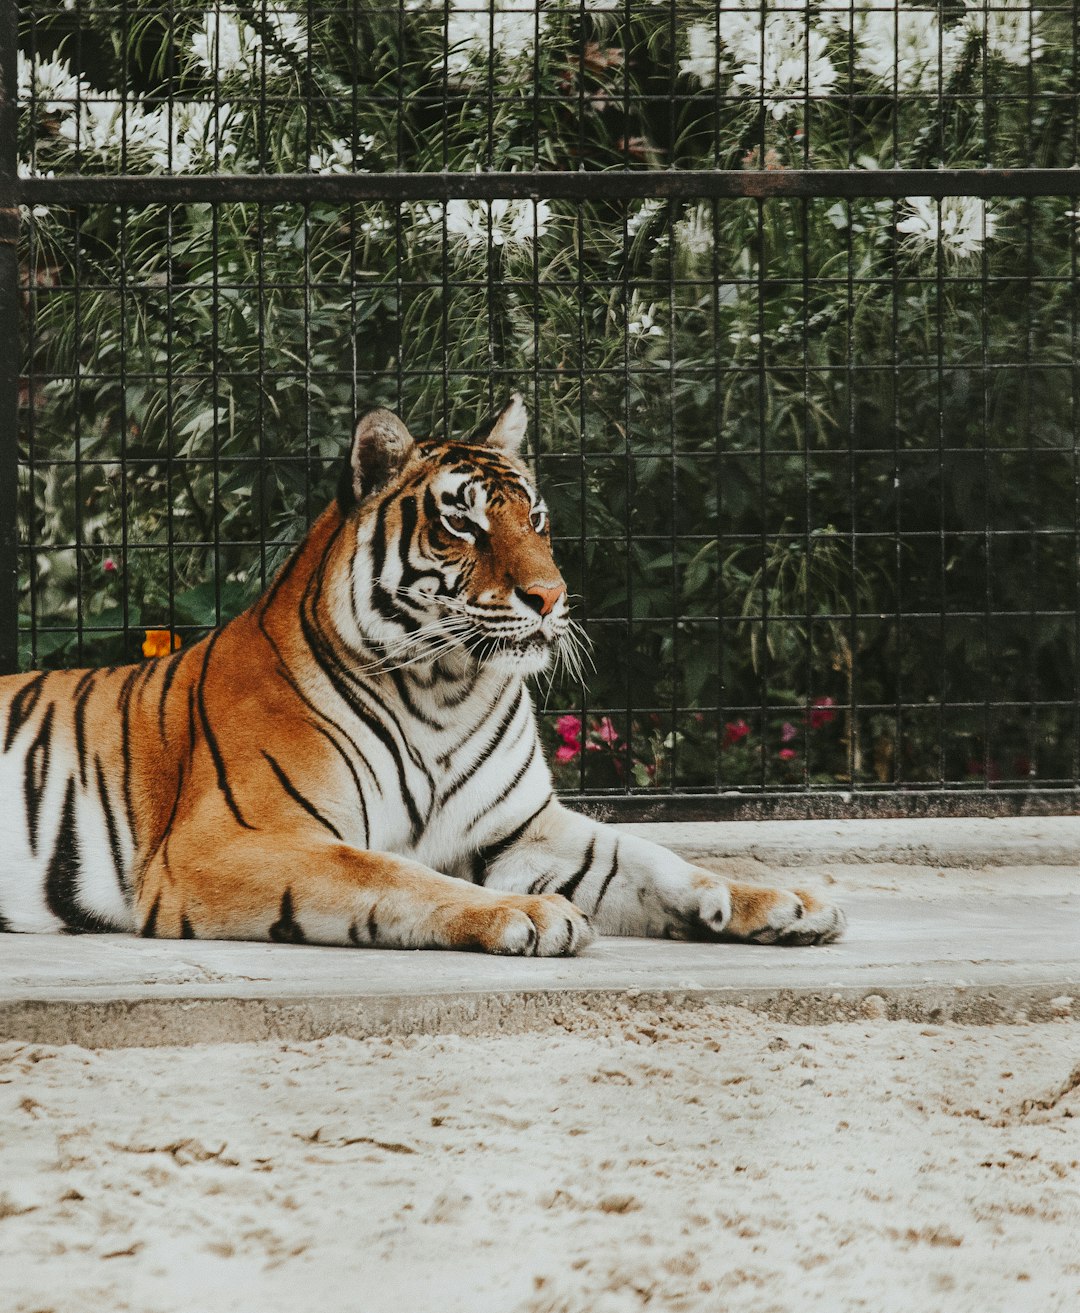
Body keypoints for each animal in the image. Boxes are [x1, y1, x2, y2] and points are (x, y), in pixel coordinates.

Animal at [0, 391, 845, 955]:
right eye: (463, 524)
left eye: (536, 519)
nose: (552, 596)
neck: (446, 690)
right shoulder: (232, 839)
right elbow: (390, 873)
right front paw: (530, 915)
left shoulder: (521, 828)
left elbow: (649, 857)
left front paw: (783, 899)